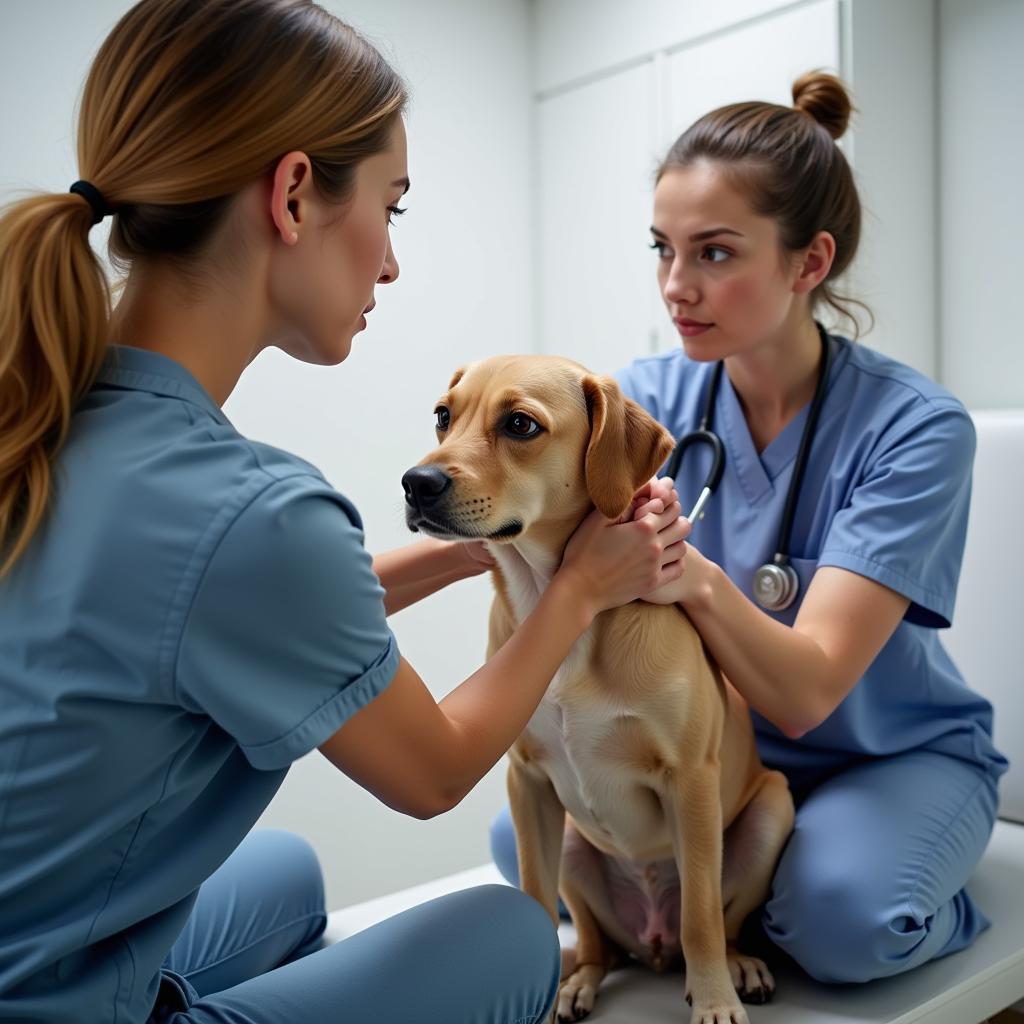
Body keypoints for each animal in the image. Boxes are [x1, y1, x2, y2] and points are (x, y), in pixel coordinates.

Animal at [403, 356, 794, 1019]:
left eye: (520, 423)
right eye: (442, 416)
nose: (415, 483)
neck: (560, 607)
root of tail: (651, 942)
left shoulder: (691, 778)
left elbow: (702, 918)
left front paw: (714, 1002)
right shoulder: (528, 782)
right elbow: (535, 904)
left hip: (772, 808)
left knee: (718, 922)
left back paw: (736, 966)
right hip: (571, 846)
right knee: (594, 943)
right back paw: (578, 982)